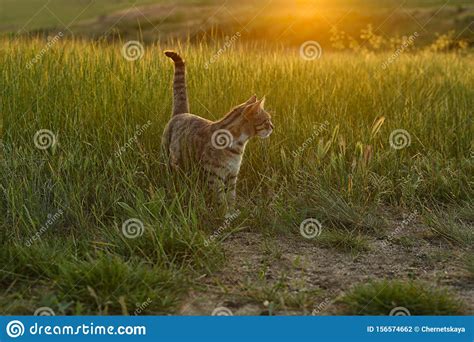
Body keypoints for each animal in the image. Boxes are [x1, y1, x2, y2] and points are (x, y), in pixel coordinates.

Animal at [162, 50, 274, 206]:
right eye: (267, 121)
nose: (273, 127)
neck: (238, 144)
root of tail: (182, 113)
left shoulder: (232, 175)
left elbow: (231, 197)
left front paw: (232, 210)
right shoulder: (215, 177)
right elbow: (220, 200)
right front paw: (223, 211)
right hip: (170, 160)